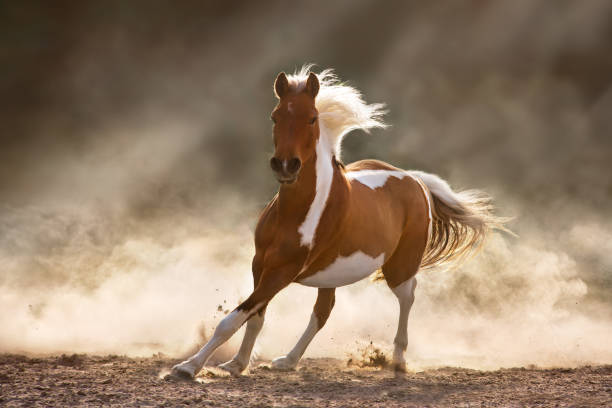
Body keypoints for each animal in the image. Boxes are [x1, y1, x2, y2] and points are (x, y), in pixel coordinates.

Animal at [172, 64, 506, 380]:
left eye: (311, 118)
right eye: (274, 116)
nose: (285, 165)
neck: (295, 212)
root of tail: (413, 179)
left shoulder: (282, 271)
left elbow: (232, 319)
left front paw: (188, 367)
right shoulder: (260, 264)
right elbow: (255, 317)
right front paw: (236, 364)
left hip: (399, 267)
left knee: (407, 297)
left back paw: (398, 361)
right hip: (331, 275)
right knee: (323, 312)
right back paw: (287, 360)